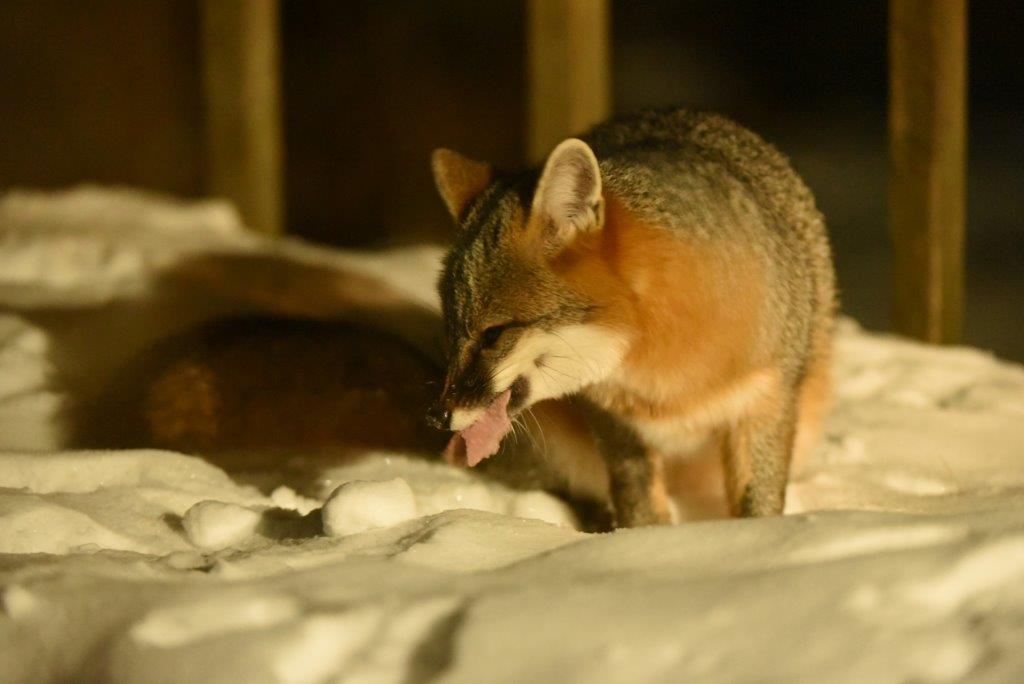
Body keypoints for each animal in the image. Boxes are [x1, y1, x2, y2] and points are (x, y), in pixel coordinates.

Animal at [428, 107, 836, 526]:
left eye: (493, 334)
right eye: (452, 331)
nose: (438, 416)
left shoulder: (763, 400)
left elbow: (757, 499)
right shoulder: (614, 423)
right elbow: (638, 500)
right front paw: (638, 537)